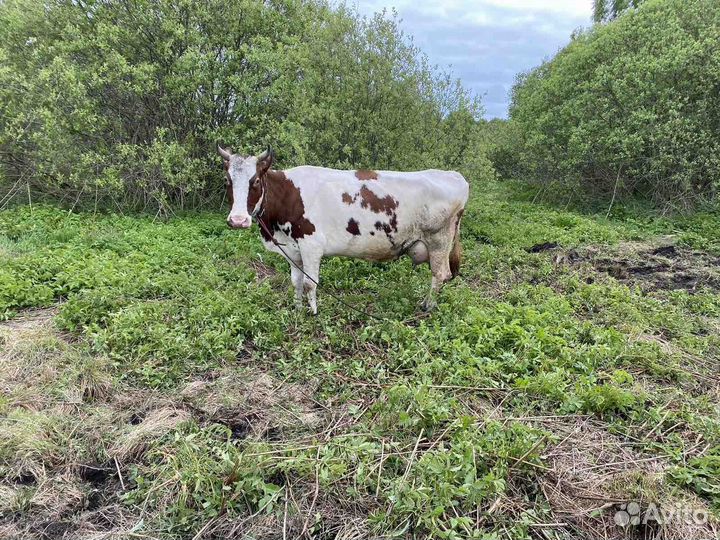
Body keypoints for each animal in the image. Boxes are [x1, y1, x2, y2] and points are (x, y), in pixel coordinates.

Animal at [219, 145, 468, 314]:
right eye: (227, 181)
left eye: (255, 181)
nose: (238, 220)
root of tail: (454, 175)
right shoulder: (291, 249)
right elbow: (296, 281)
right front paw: (297, 310)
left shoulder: (311, 245)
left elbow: (310, 283)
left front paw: (313, 313)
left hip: (439, 241)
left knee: (440, 275)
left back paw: (428, 306)